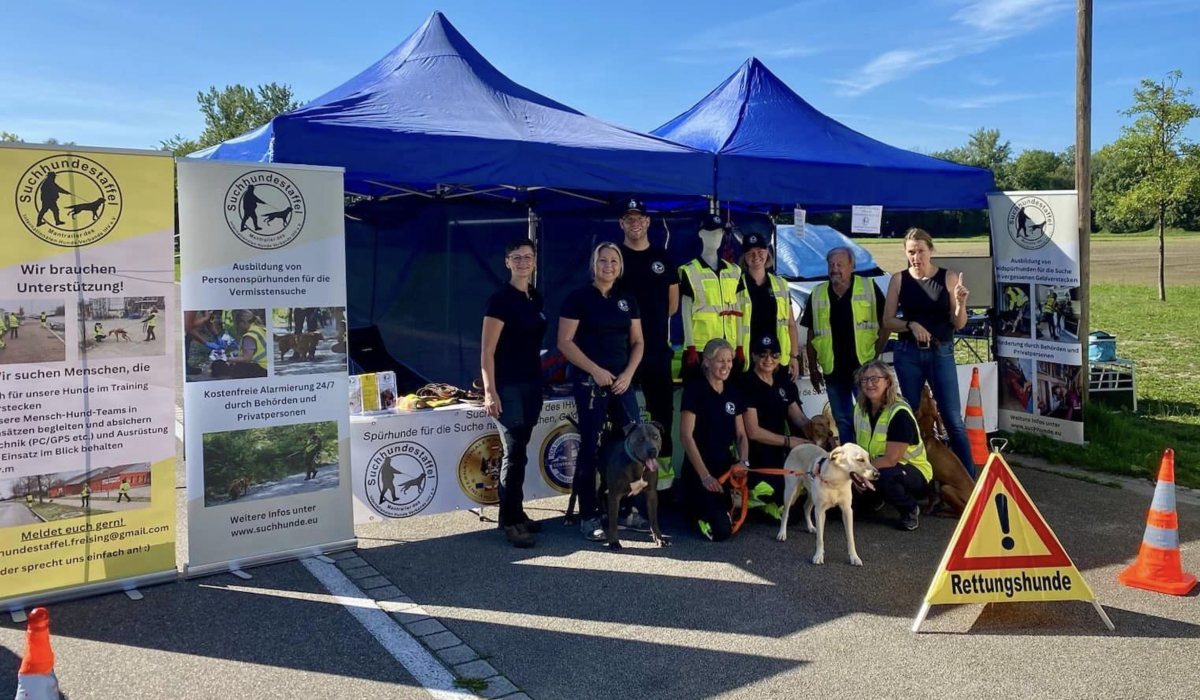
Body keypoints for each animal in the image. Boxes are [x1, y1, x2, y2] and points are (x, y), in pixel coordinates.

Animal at [916, 386, 974, 518]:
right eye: (931, 399)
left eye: (925, 398)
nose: (926, 387)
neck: (928, 435)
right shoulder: (940, 478)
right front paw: (938, 504)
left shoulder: (930, 477)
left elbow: (931, 495)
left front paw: (929, 509)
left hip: (946, 489)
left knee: (960, 512)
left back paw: (945, 513)